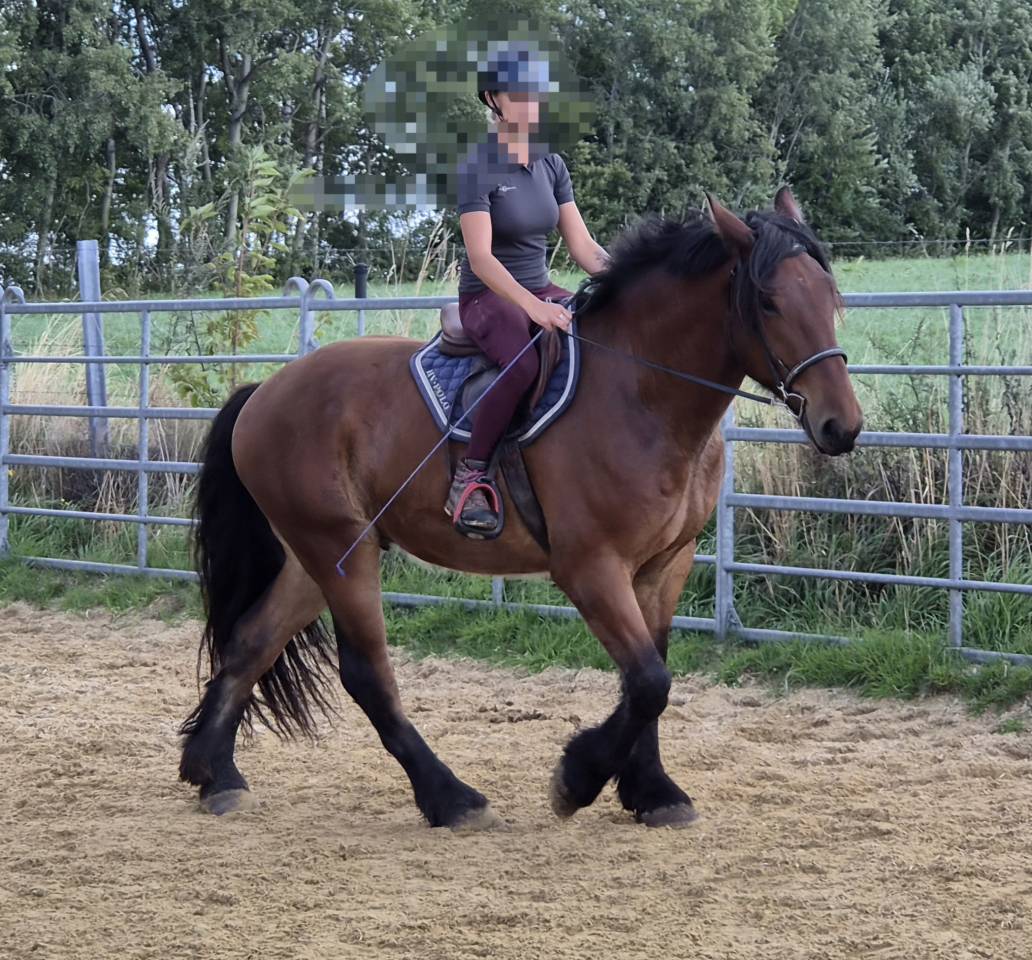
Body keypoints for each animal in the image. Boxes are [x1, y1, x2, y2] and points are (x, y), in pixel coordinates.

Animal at [178, 187, 863, 829]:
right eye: (769, 302)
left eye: (830, 297)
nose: (843, 426)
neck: (639, 392)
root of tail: (265, 391)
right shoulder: (590, 569)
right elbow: (649, 683)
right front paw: (577, 779)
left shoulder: (664, 566)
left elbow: (651, 676)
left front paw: (653, 792)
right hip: (340, 554)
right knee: (366, 674)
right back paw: (451, 798)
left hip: (317, 555)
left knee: (251, 643)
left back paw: (216, 774)